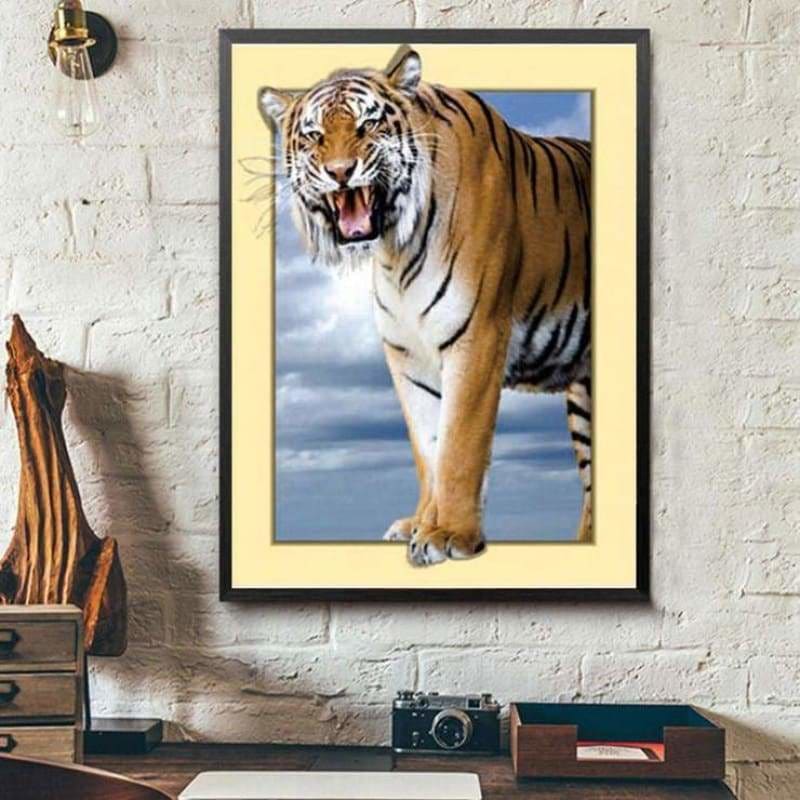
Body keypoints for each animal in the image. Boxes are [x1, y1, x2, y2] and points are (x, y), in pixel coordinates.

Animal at [258, 46, 592, 566]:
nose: (340, 171)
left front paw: (449, 535)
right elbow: (427, 446)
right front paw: (421, 525)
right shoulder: (407, 355)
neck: (397, 250)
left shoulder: (477, 338)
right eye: (314, 135)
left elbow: (459, 445)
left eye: (367, 125)